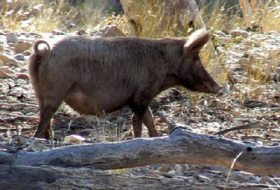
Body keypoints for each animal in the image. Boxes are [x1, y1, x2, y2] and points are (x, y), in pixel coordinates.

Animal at [29, 29, 223, 140]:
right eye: (197, 60)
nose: (220, 87)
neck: (165, 64)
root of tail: (44, 51)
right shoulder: (143, 94)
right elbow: (137, 120)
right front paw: (138, 139)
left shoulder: (139, 97)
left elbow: (149, 118)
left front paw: (156, 137)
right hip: (57, 88)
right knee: (47, 114)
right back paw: (38, 139)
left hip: (38, 88)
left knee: (43, 113)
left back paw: (46, 139)